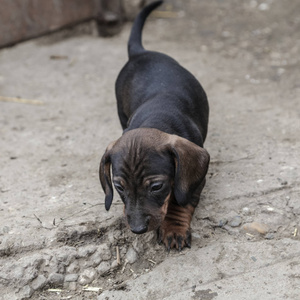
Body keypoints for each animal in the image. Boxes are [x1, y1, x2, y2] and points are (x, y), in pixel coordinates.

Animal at [99, 0, 210, 251]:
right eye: (119, 187)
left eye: (157, 187)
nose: (137, 229)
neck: (156, 119)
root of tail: (140, 52)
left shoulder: (194, 181)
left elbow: (180, 201)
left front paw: (174, 229)